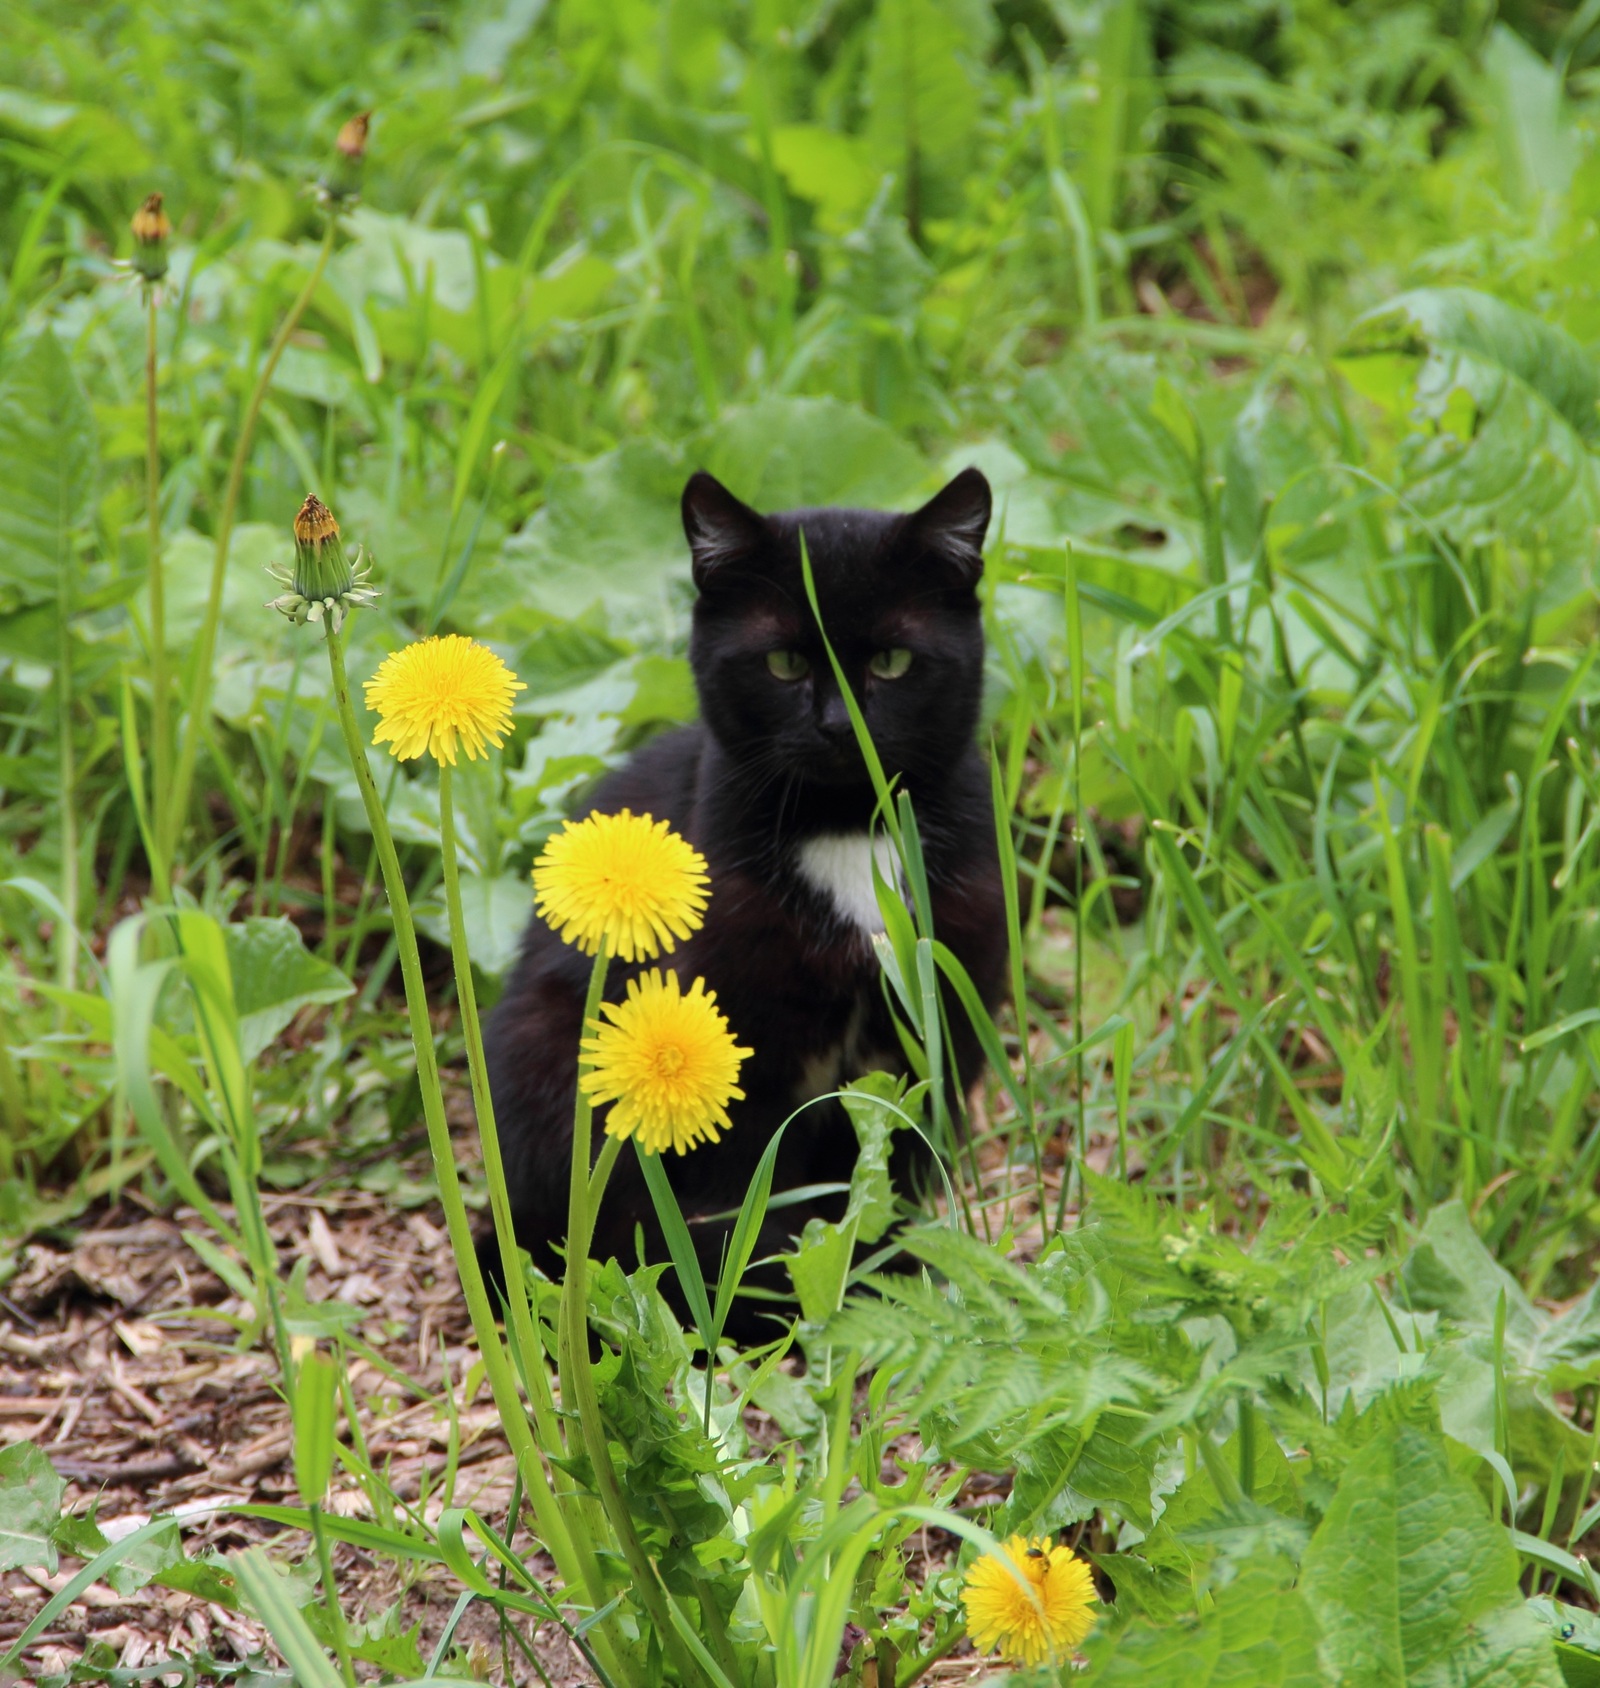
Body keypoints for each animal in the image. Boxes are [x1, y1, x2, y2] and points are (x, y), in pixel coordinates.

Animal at [486, 465, 1005, 1330]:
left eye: (893, 660)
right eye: (786, 663)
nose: (839, 726)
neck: (847, 833)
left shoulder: (936, 1038)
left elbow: (894, 1176)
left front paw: (883, 1279)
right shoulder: (729, 1054)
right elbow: (739, 1204)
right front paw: (756, 1304)